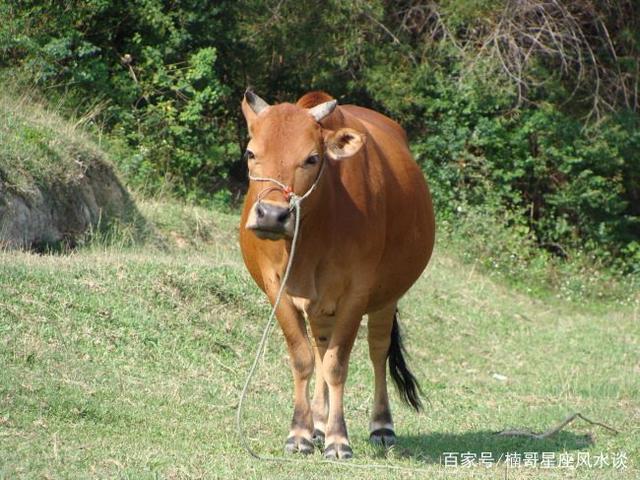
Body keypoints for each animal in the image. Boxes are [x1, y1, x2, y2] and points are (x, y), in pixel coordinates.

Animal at [240, 89, 436, 458]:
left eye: (312, 158)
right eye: (251, 153)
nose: (272, 215)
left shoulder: (357, 293)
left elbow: (337, 363)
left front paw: (338, 439)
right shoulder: (277, 289)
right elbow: (303, 358)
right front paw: (300, 433)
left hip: (387, 298)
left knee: (377, 350)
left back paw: (381, 426)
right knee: (319, 346)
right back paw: (317, 422)